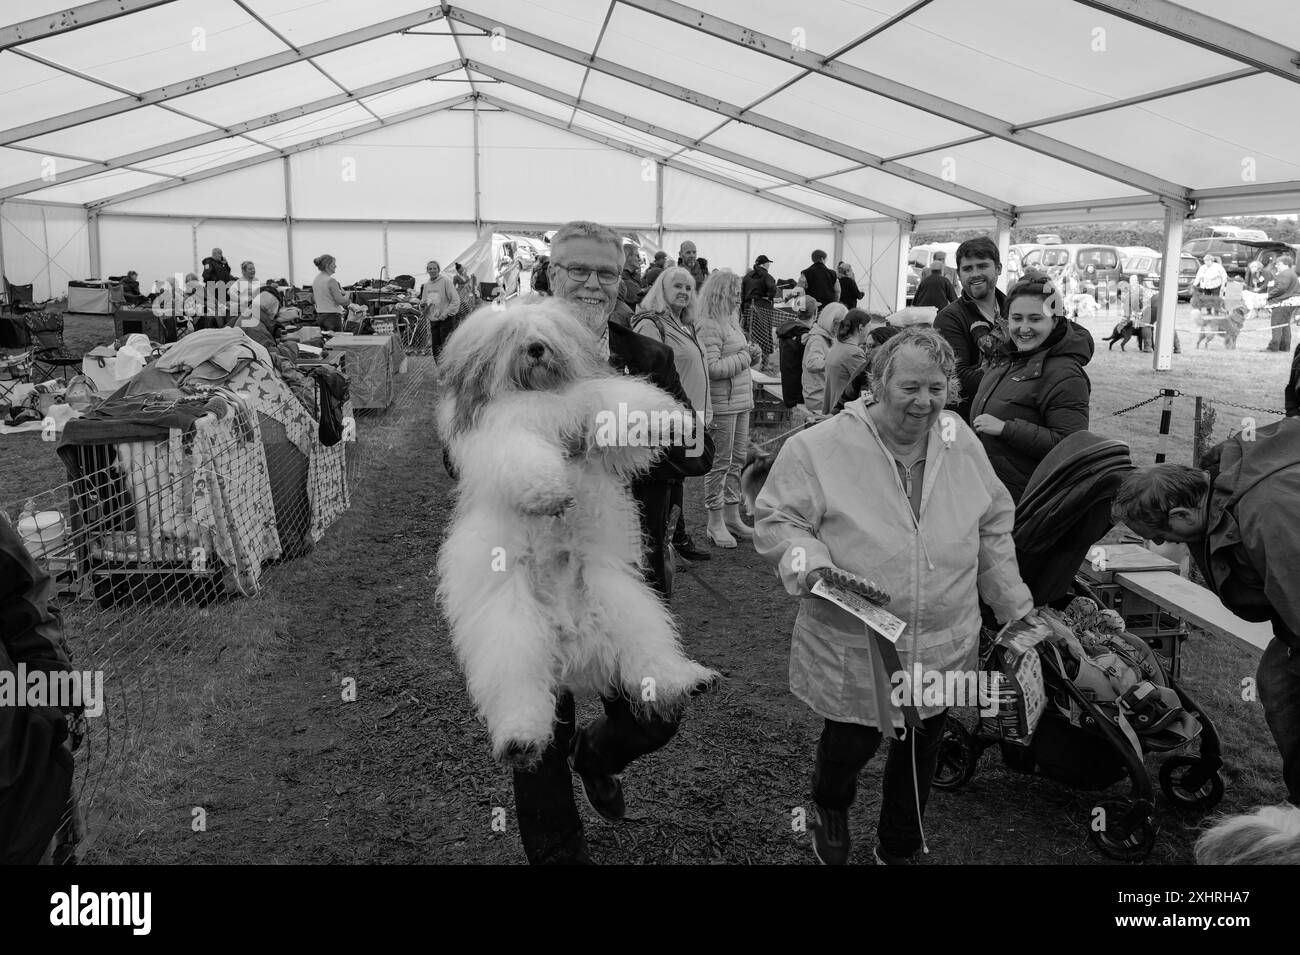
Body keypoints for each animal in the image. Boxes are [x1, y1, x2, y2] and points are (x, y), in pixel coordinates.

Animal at [436, 298, 722, 769]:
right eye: (512, 336)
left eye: (546, 332)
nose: (536, 348)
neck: (541, 395)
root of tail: (571, 644)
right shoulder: (504, 432)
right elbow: (526, 458)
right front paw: (550, 493)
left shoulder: (591, 403)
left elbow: (624, 406)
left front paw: (671, 421)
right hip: (513, 630)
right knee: (518, 691)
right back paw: (520, 740)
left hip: (624, 602)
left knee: (649, 657)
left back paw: (687, 679)